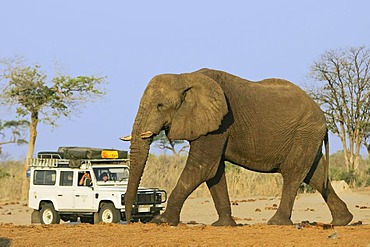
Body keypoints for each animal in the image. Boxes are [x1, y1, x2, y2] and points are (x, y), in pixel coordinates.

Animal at [121, 67, 352, 226]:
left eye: (160, 106)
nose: (130, 220)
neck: (185, 76)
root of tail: (322, 116)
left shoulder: (220, 123)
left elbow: (201, 167)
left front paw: (161, 222)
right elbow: (214, 172)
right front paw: (223, 225)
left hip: (305, 132)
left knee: (293, 173)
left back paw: (276, 223)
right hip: (308, 136)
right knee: (315, 174)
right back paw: (343, 221)